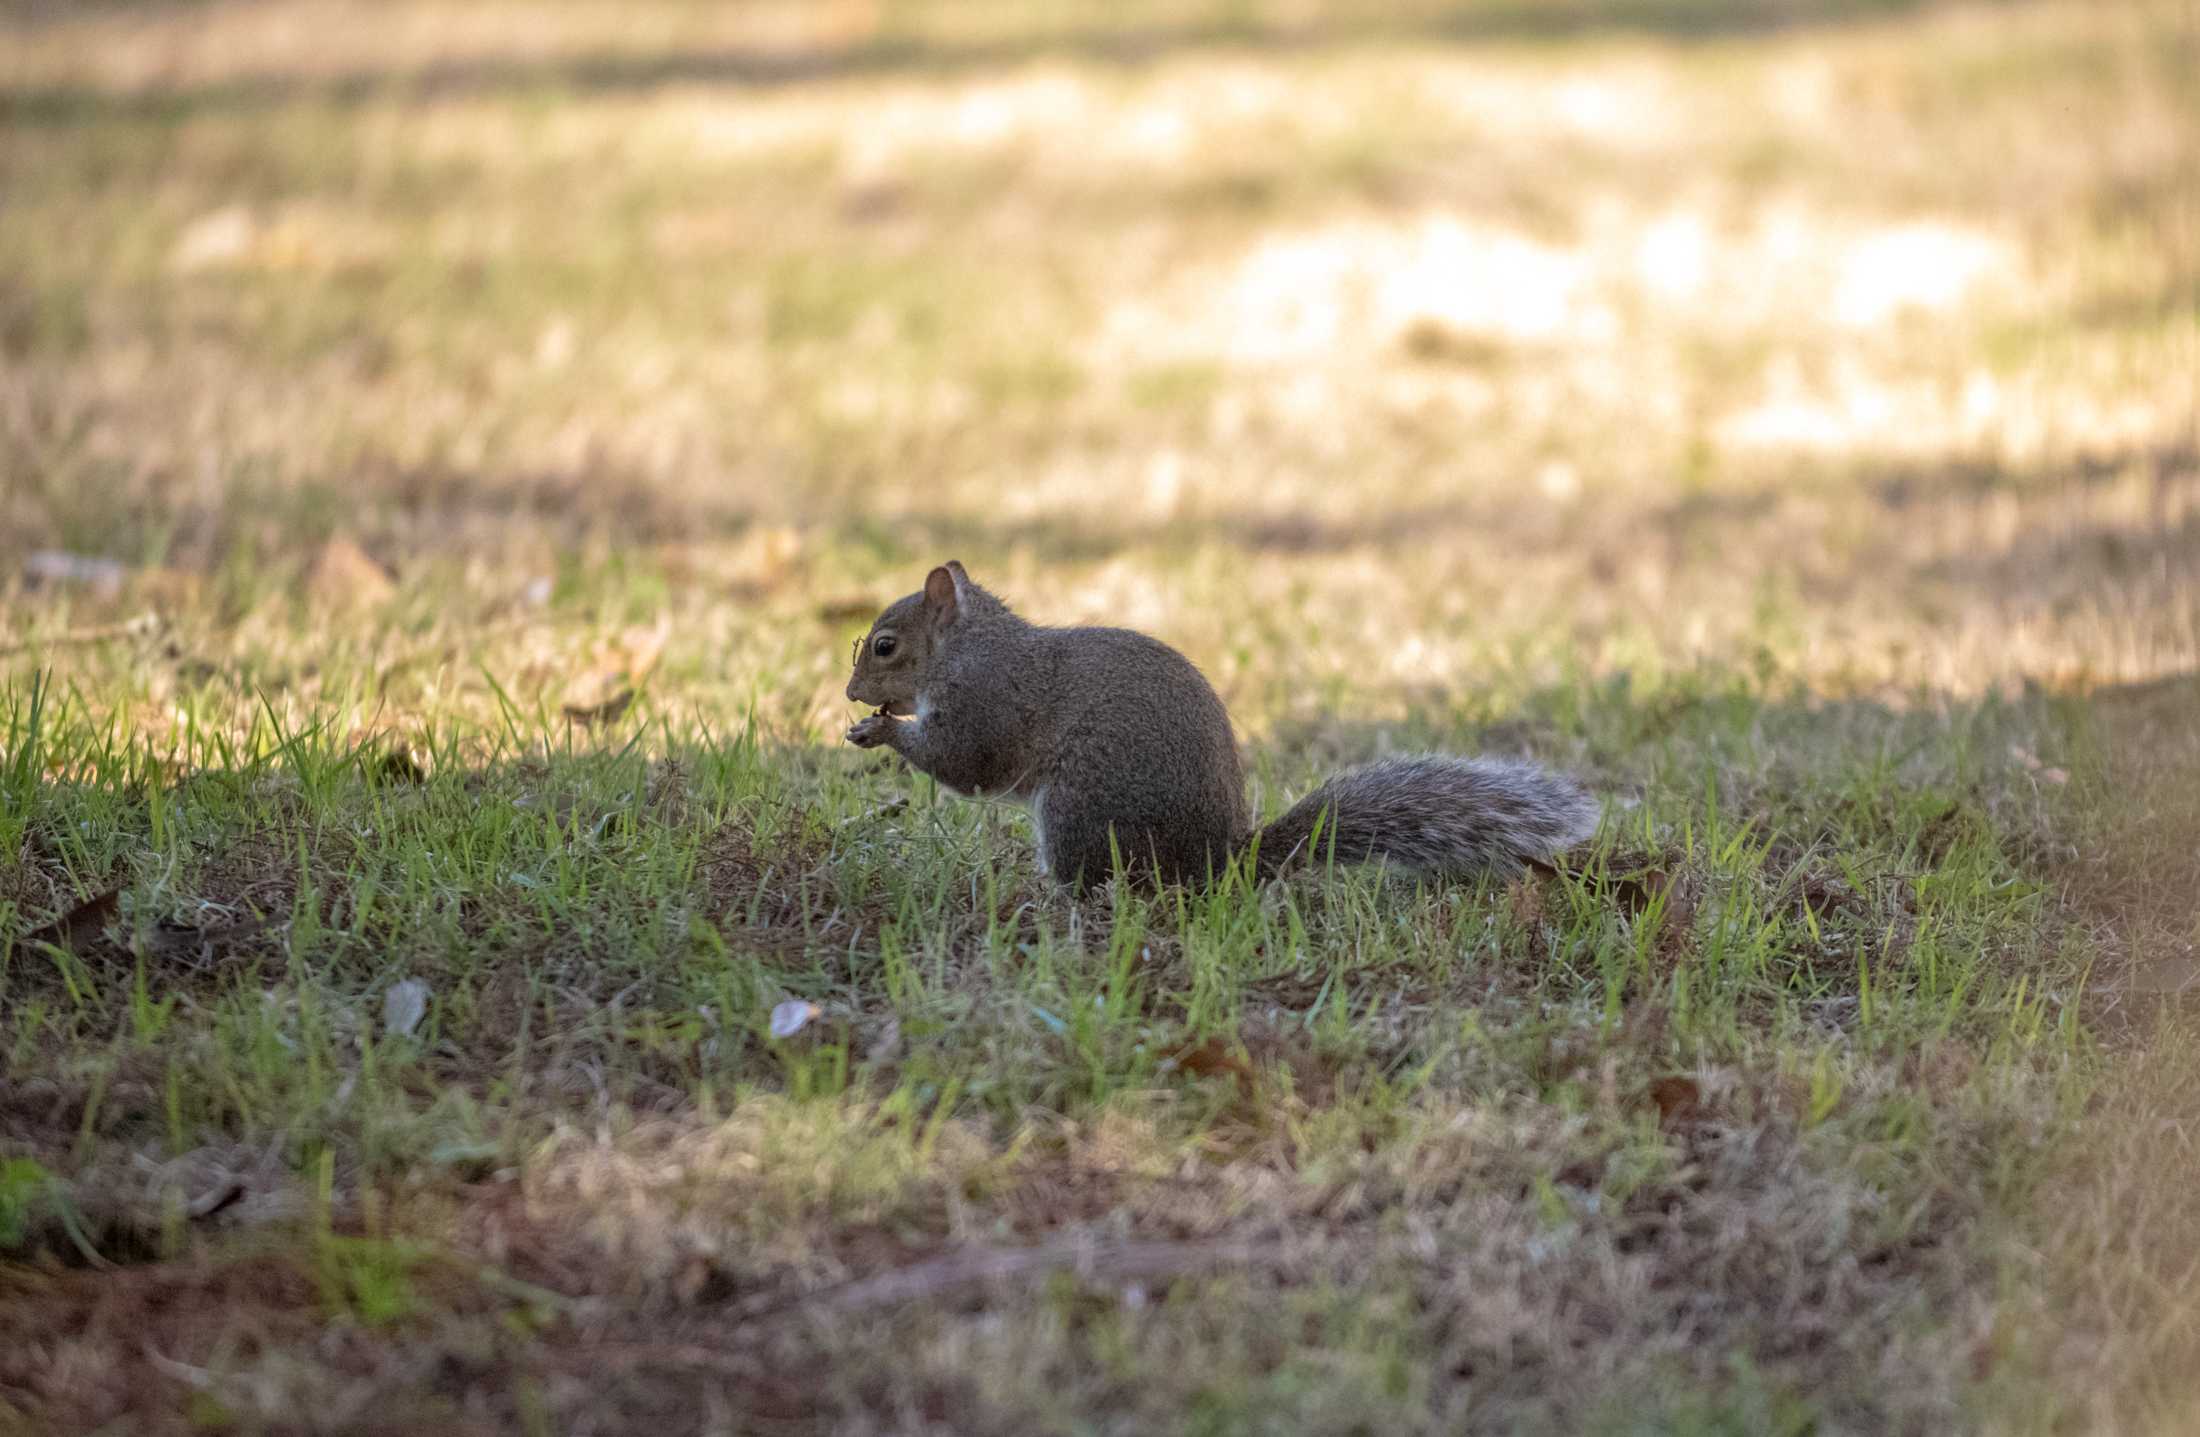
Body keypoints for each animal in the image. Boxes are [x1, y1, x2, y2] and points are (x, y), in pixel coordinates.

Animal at [844, 561, 1601, 884]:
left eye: (884, 645)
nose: (851, 694)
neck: (968, 645)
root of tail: (1216, 857)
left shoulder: (987, 699)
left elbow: (969, 763)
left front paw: (880, 732)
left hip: (1080, 810)